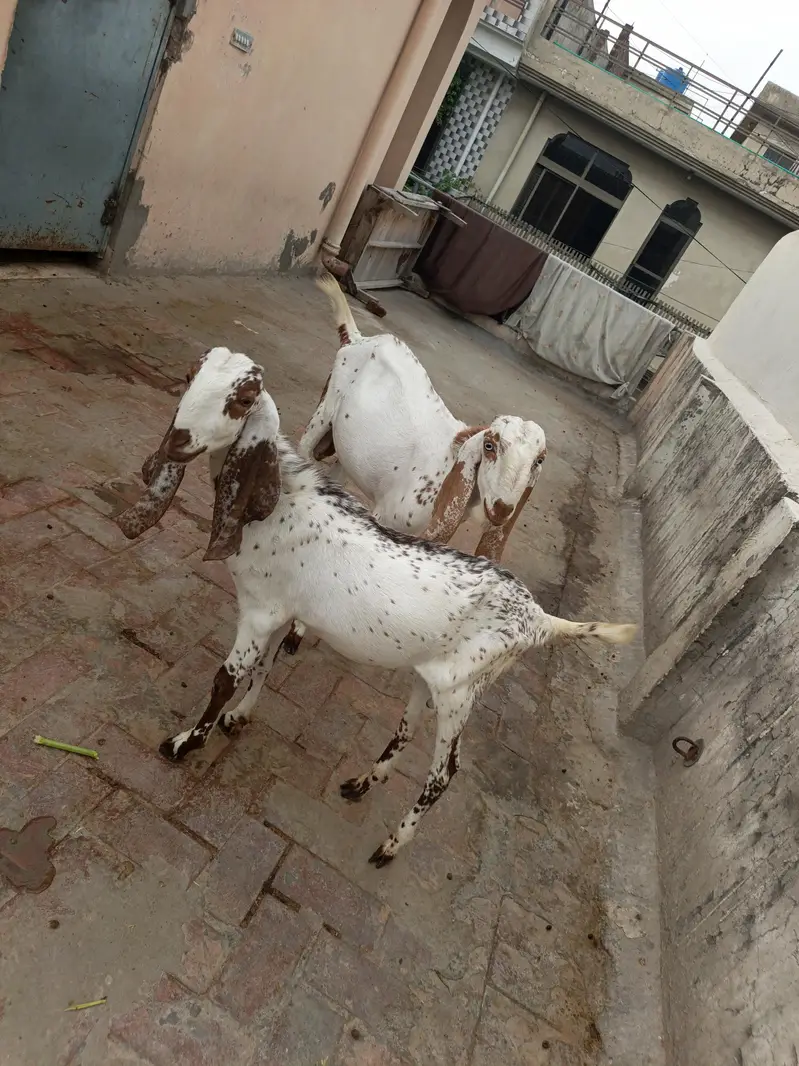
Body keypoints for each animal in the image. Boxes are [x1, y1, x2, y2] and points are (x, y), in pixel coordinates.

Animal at [115, 348, 635, 867]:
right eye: (191, 375)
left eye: (243, 399)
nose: (178, 441)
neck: (282, 504)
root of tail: (539, 619)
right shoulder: (282, 608)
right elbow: (264, 666)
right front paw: (239, 718)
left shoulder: (259, 611)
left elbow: (226, 679)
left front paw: (184, 744)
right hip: (432, 678)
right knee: (407, 728)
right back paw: (364, 782)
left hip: (461, 693)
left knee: (446, 772)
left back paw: (391, 844)